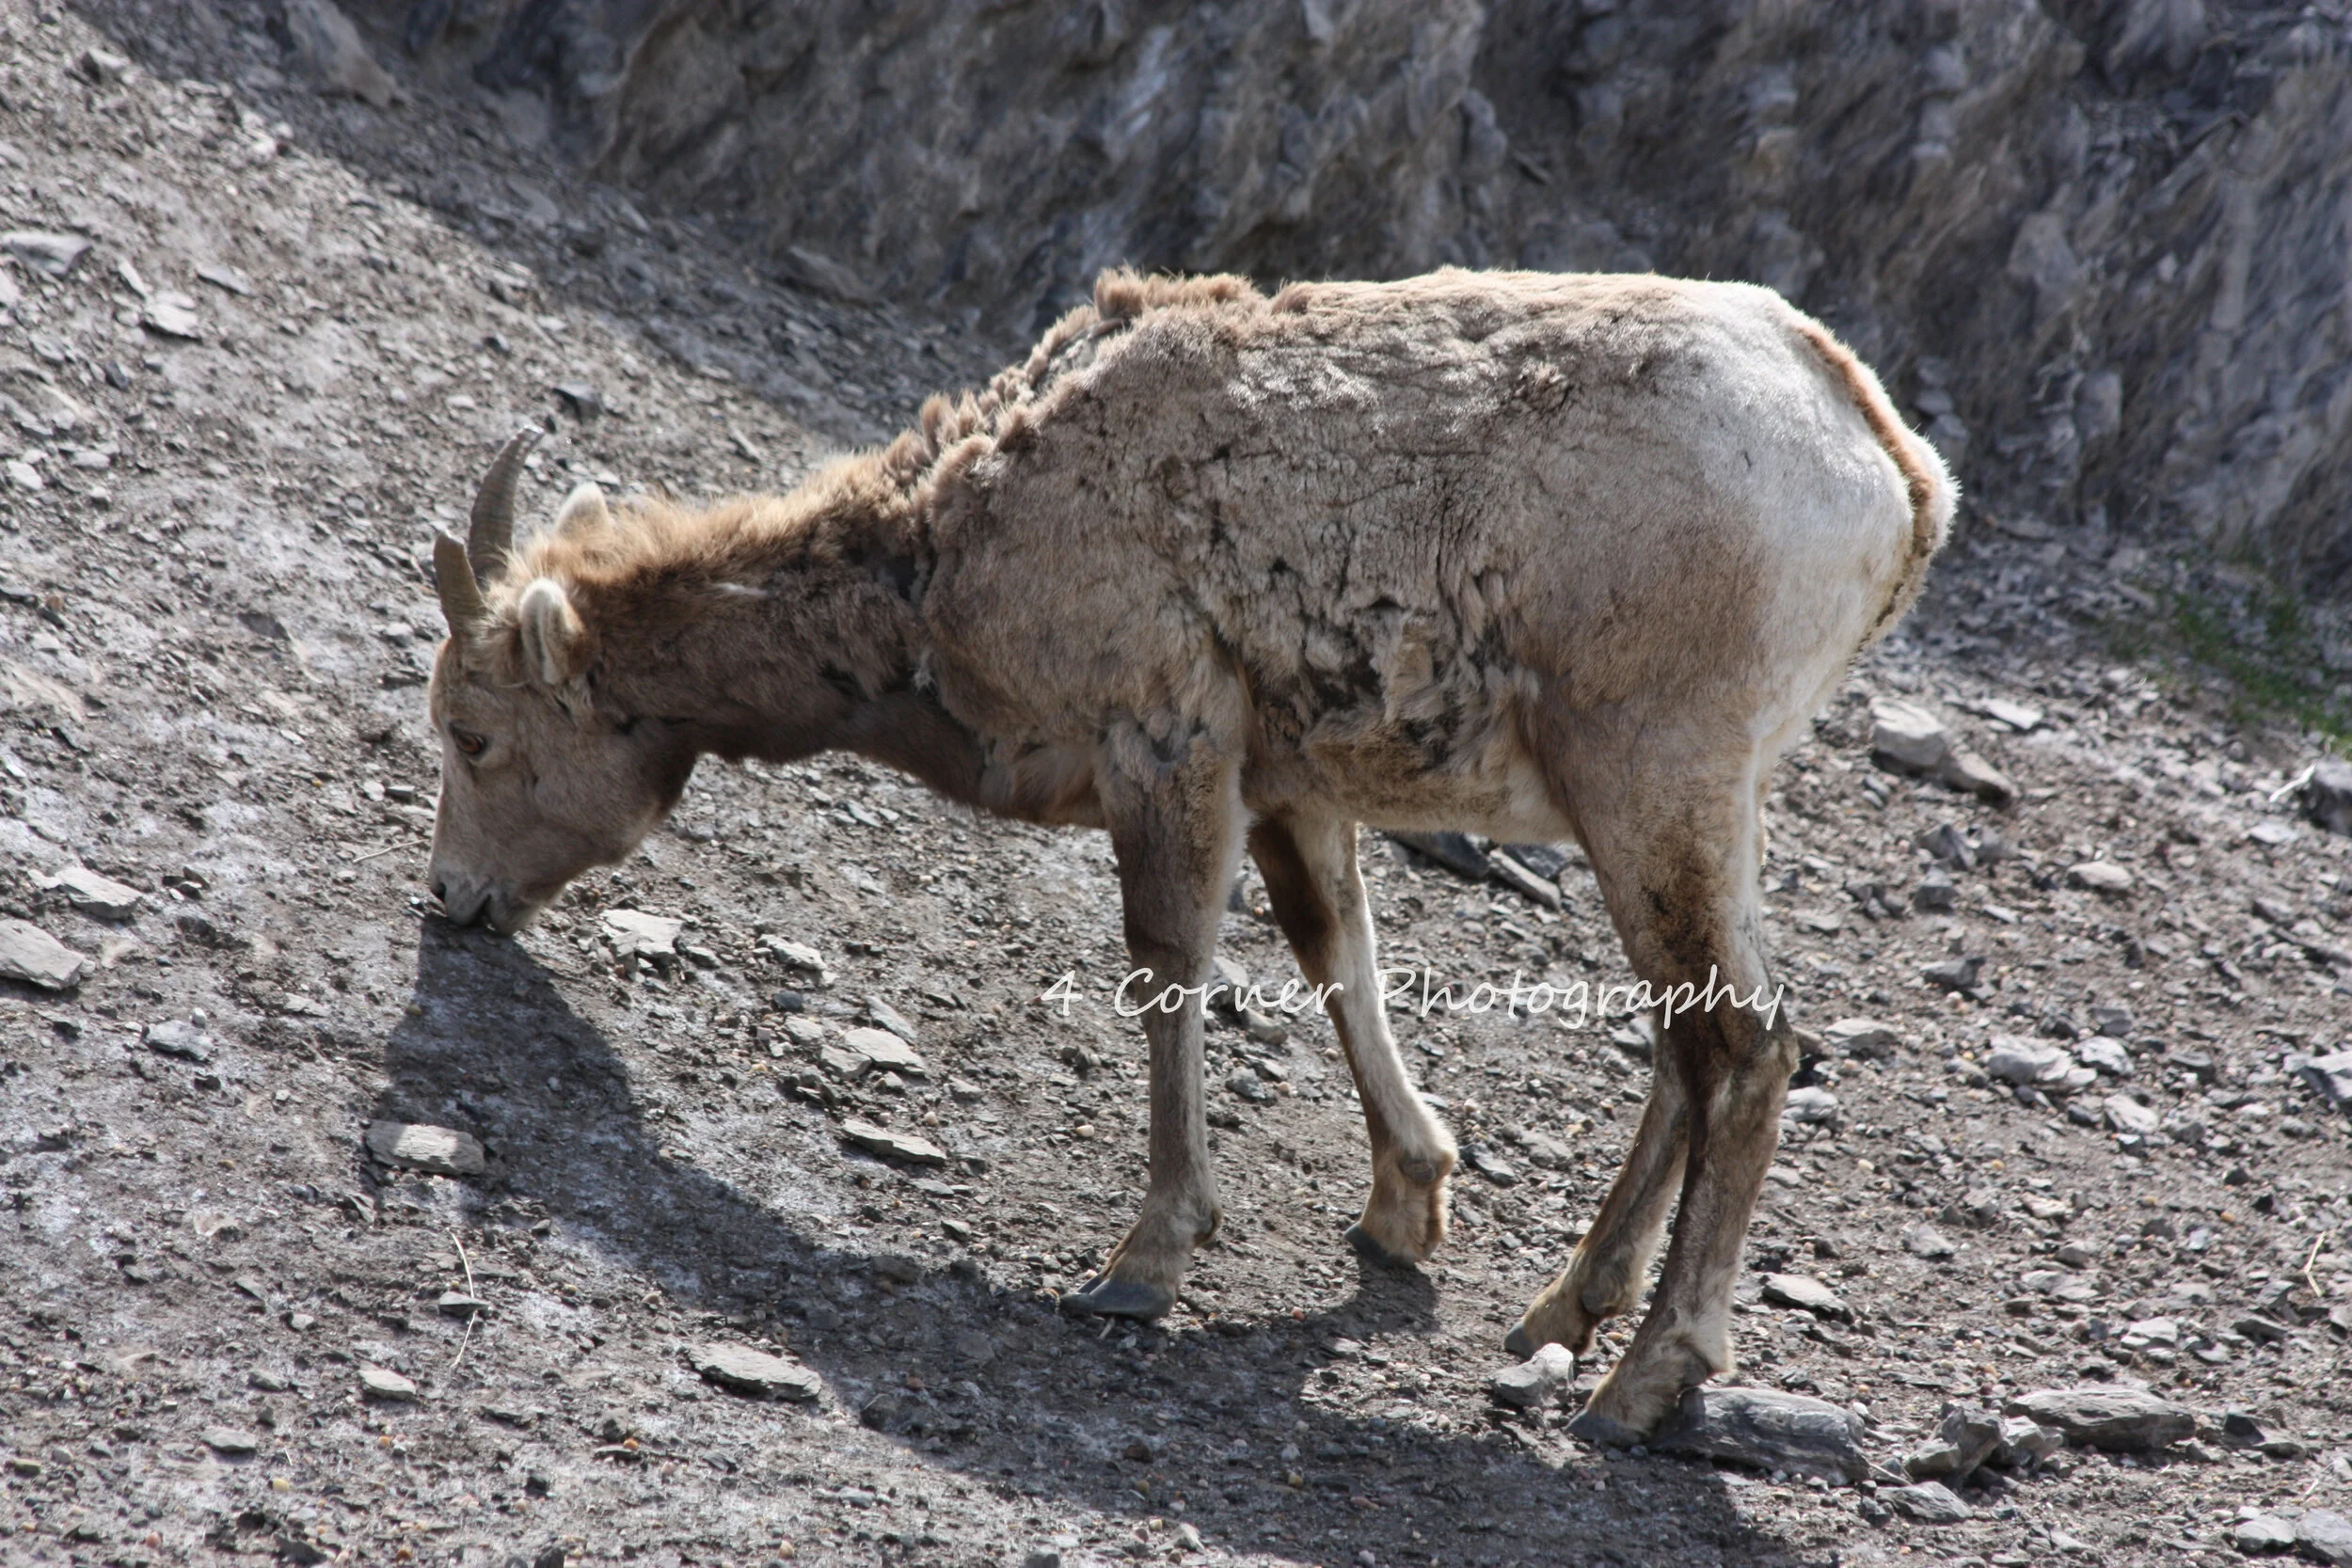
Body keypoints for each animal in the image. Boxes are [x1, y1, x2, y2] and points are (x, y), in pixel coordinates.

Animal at [424, 267, 1952, 1440]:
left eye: (473, 733)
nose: (451, 900)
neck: (950, 553)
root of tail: (1892, 476)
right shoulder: (1289, 785)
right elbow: (1338, 951)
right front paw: (1405, 1202)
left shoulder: (1165, 740)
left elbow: (1168, 966)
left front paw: (1145, 1259)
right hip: (1680, 799)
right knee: (1688, 1038)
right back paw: (1560, 1310)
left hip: (1650, 772)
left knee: (1741, 1044)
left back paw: (1636, 1385)